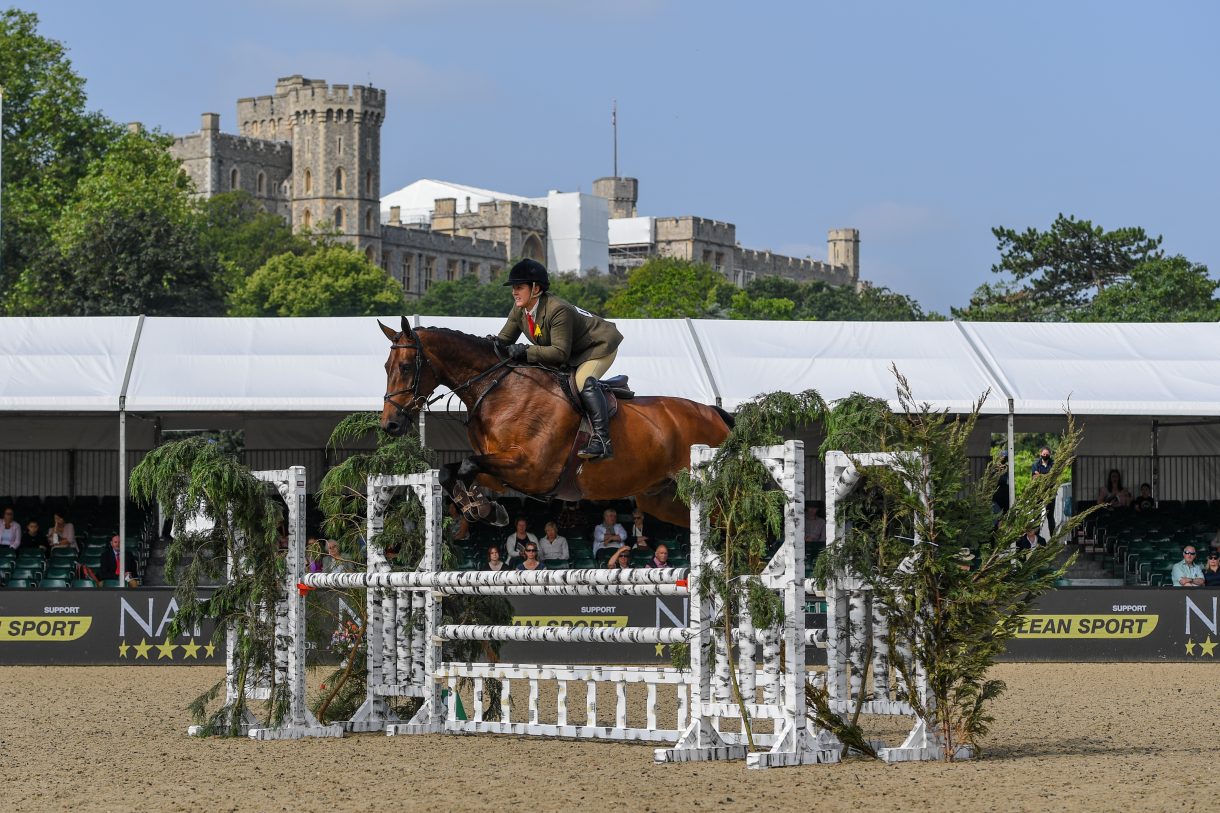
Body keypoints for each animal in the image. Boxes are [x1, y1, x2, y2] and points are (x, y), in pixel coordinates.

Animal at [378, 317, 733, 527]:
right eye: (386, 366)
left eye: (406, 367)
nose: (389, 425)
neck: (498, 389)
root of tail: (714, 414)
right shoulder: (501, 471)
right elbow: (453, 472)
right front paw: (480, 508)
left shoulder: (532, 469)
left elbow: (464, 466)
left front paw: (479, 507)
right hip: (663, 499)